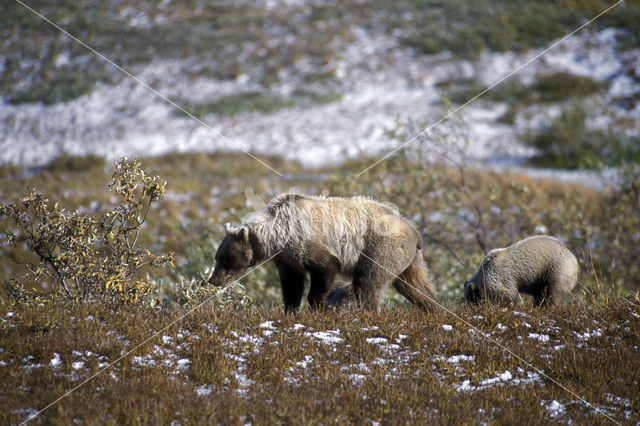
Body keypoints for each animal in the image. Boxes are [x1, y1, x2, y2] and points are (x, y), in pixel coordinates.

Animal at [208, 195, 438, 312]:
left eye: (225, 259)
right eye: (218, 257)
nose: (213, 280)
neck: (275, 234)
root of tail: (415, 231)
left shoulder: (303, 239)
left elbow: (325, 266)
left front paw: (316, 306)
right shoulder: (286, 257)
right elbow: (292, 284)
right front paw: (290, 310)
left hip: (381, 248)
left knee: (367, 282)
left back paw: (368, 313)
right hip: (408, 258)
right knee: (414, 285)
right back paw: (434, 309)